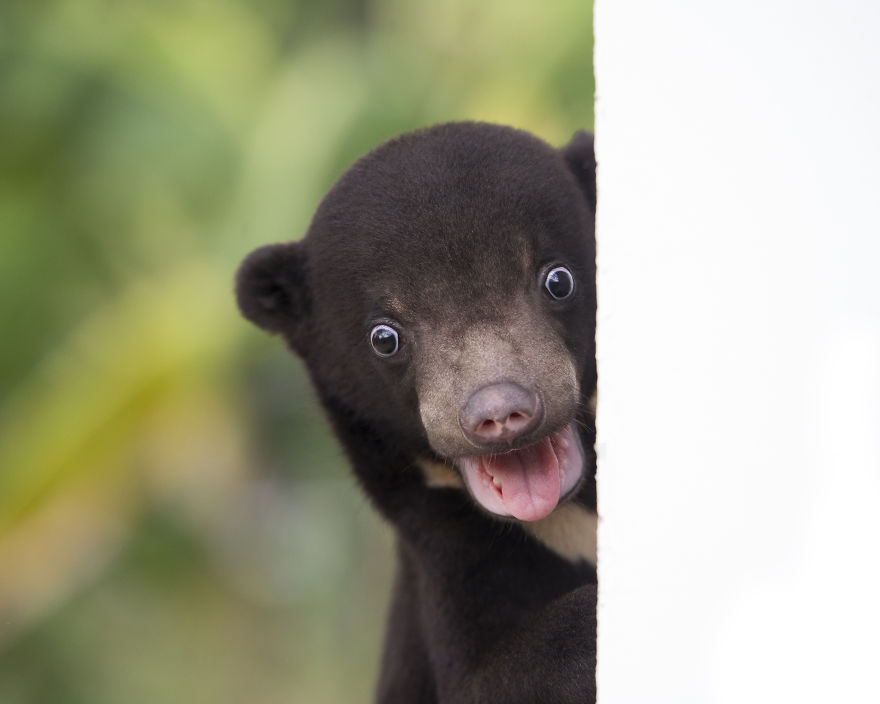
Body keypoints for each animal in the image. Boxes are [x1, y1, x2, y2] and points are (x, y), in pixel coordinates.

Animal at [236, 122, 597, 704]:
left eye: (557, 280)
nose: (501, 413)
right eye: (384, 337)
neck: (568, 522)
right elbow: (488, 679)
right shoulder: (446, 543)